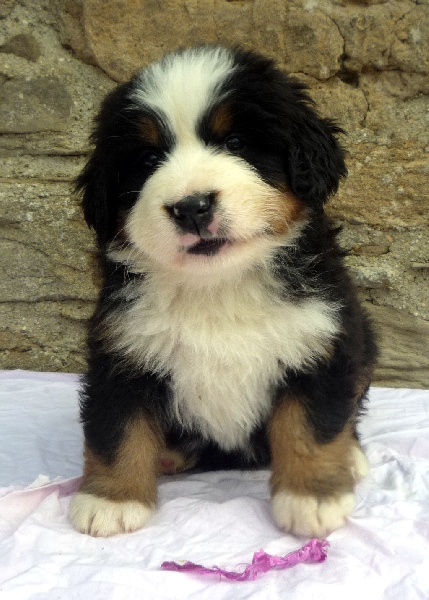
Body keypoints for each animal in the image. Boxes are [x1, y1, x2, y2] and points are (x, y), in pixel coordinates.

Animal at [69, 45, 377, 538]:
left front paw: (312, 497)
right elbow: (117, 429)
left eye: (235, 143)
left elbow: (309, 427)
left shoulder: (321, 342)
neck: (218, 286)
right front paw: (110, 500)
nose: (191, 207)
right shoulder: (121, 350)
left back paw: (351, 456)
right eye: (148, 160)